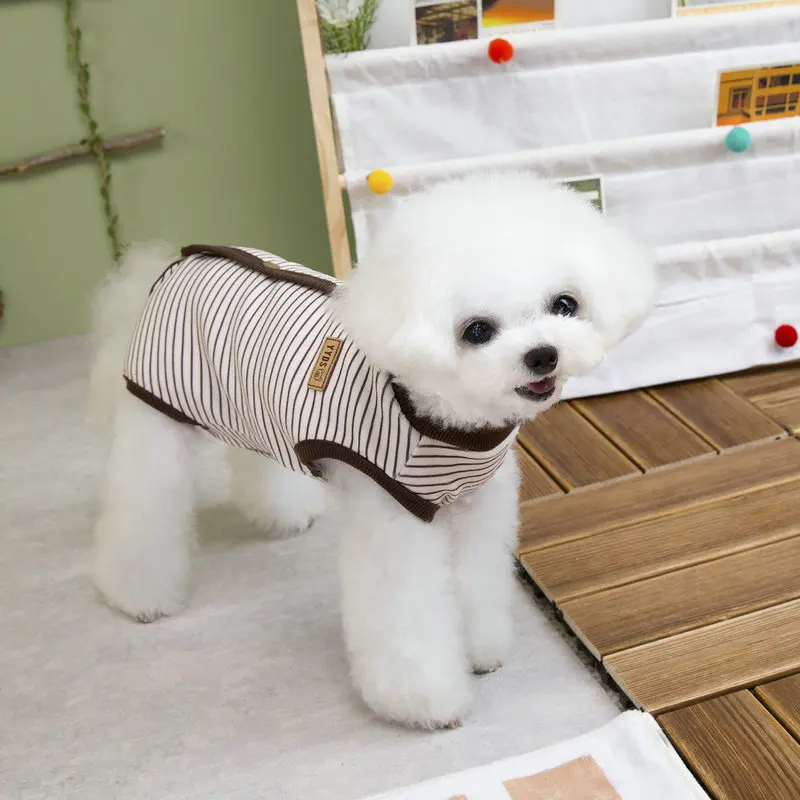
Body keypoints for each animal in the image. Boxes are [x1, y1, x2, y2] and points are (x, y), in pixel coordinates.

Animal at [88, 171, 657, 730]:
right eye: (477, 330)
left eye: (564, 304)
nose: (543, 354)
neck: (442, 418)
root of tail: (169, 264)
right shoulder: (394, 515)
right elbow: (406, 619)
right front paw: (424, 701)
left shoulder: (477, 506)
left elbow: (474, 581)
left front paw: (478, 648)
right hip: (158, 418)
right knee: (143, 511)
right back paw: (139, 594)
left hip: (250, 408)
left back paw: (282, 513)